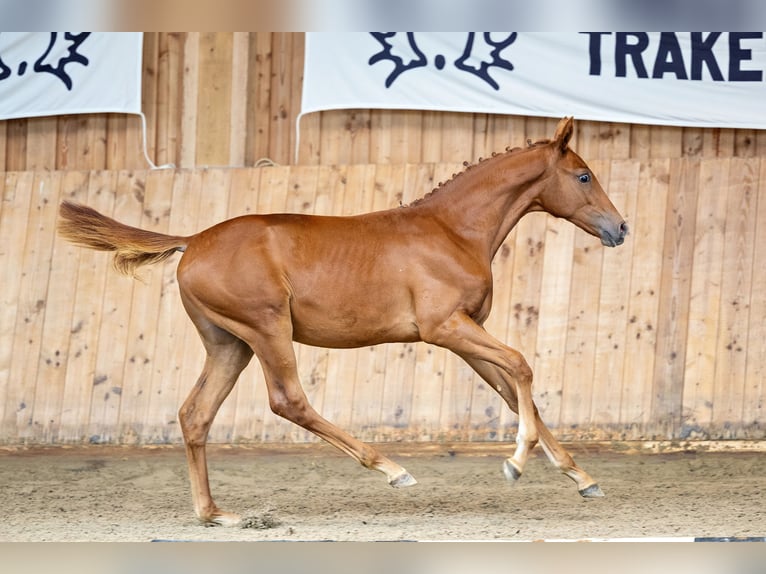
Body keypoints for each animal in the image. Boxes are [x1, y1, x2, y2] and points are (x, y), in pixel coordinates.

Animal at [58, 117, 628, 526]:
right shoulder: (445, 329)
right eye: (583, 175)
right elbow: (522, 365)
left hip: (228, 343)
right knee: (287, 400)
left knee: (195, 414)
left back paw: (215, 514)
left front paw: (580, 476)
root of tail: (192, 241)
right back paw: (392, 470)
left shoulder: (466, 333)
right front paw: (516, 462)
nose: (620, 228)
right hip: (266, 329)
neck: (452, 230)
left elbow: (512, 391)